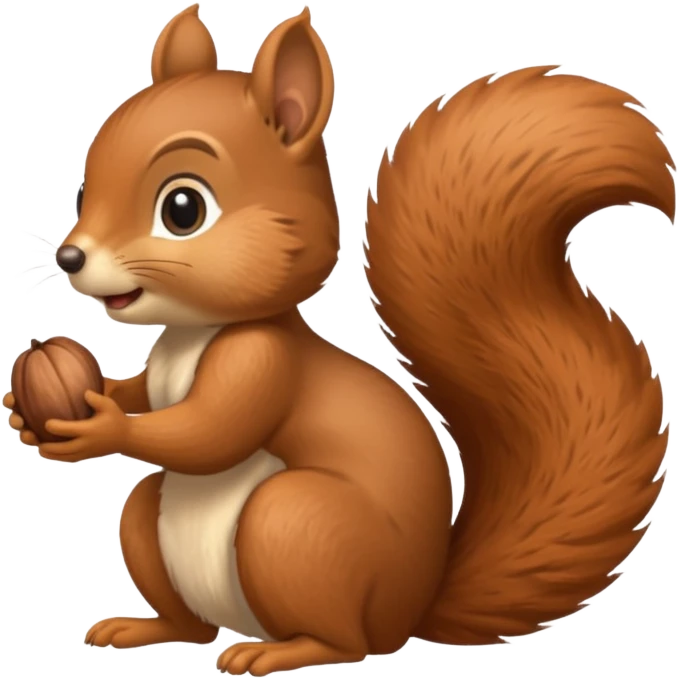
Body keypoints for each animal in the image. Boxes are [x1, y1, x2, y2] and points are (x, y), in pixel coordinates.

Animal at [3, 3, 675, 675]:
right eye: (83, 190)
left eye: (184, 209)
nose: (70, 256)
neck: (198, 331)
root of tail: (413, 610)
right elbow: (144, 391)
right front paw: (45, 404)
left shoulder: (263, 361)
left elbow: (212, 432)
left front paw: (101, 428)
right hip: (158, 523)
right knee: (187, 614)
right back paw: (145, 628)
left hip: (292, 524)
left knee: (344, 641)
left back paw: (275, 652)